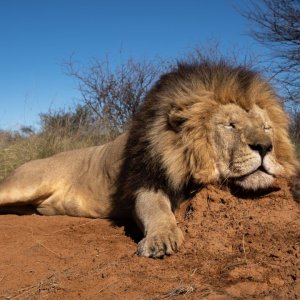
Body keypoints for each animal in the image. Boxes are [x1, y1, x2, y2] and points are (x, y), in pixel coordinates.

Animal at [0, 61, 300, 258]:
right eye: (230, 125)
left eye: (267, 127)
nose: (265, 147)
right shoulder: (145, 182)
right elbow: (157, 211)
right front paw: (159, 239)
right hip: (26, 184)